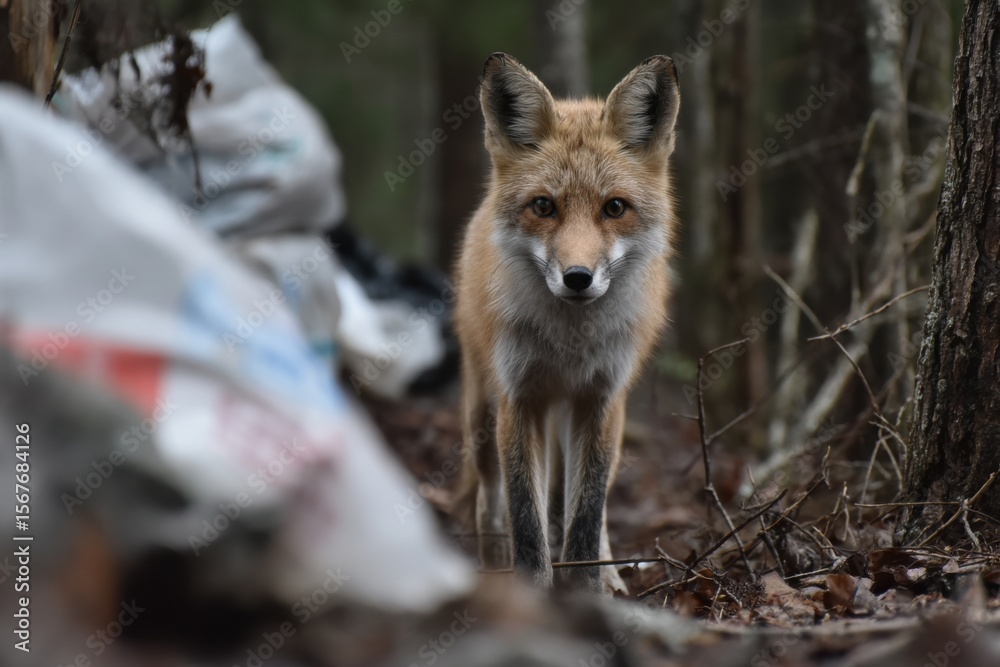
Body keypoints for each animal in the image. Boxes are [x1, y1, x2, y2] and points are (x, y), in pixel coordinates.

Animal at [454, 52, 681, 594]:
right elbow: (525, 518)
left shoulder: (600, 401)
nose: (578, 278)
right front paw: (532, 591)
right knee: (489, 503)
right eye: (544, 206)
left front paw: (585, 590)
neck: (569, 345)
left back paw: (613, 574)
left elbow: (585, 516)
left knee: (584, 507)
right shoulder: (520, 400)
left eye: (614, 207)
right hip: (481, 416)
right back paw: (493, 566)